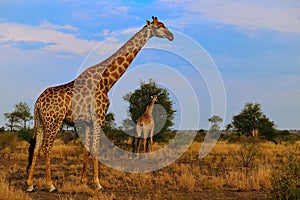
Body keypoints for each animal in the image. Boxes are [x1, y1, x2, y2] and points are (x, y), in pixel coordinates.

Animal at [26, 16, 173, 191]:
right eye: (159, 26)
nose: (171, 36)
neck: (106, 81)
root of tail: (38, 102)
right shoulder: (99, 117)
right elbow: (96, 149)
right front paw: (97, 183)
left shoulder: (88, 122)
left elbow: (87, 149)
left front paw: (83, 181)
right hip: (54, 121)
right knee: (46, 148)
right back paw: (50, 185)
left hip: (41, 122)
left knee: (35, 148)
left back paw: (30, 184)